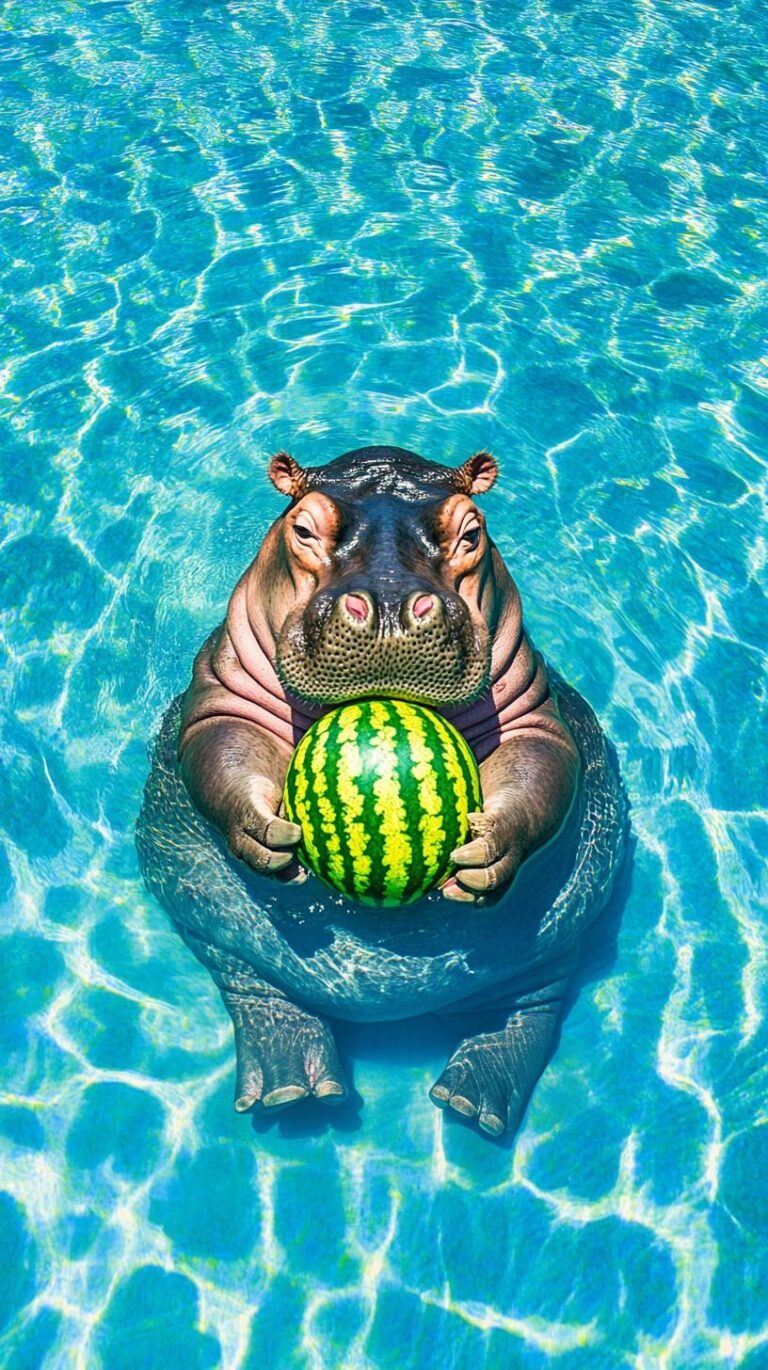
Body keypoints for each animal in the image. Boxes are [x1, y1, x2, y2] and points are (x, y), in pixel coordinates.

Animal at [137, 446, 627, 1138]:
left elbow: (544, 765)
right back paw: (290, 1090)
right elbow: (220, 749)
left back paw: (472, 1105)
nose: (391, 606)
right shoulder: (221, 695)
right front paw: (269, 835)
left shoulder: (534, 709)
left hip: (555, 939)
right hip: (209, 924)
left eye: (472, 532)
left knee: (527, 1010)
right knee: (256, 989)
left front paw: (483, 856)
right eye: (303, 528)